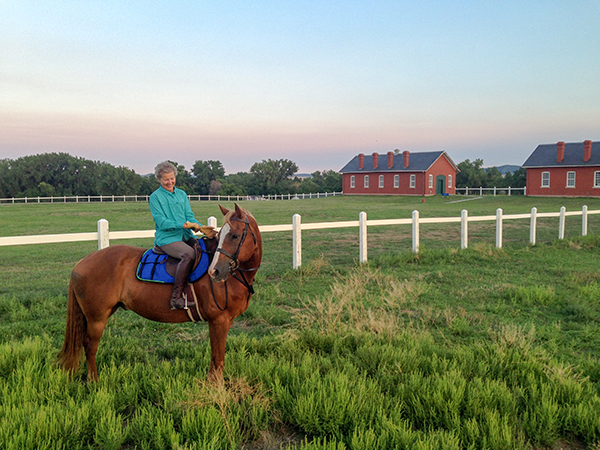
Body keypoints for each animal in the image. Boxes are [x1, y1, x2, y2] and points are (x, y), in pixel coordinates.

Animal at [57, 204, 262, 384]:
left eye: (234, 235)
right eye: (222, 236)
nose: (215, 272)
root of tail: (81, 263)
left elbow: (214, 359)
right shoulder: (218, 320)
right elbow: (218, 359)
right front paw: (216, 389)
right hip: (97, 318)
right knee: (90, 346)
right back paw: (94, 381)